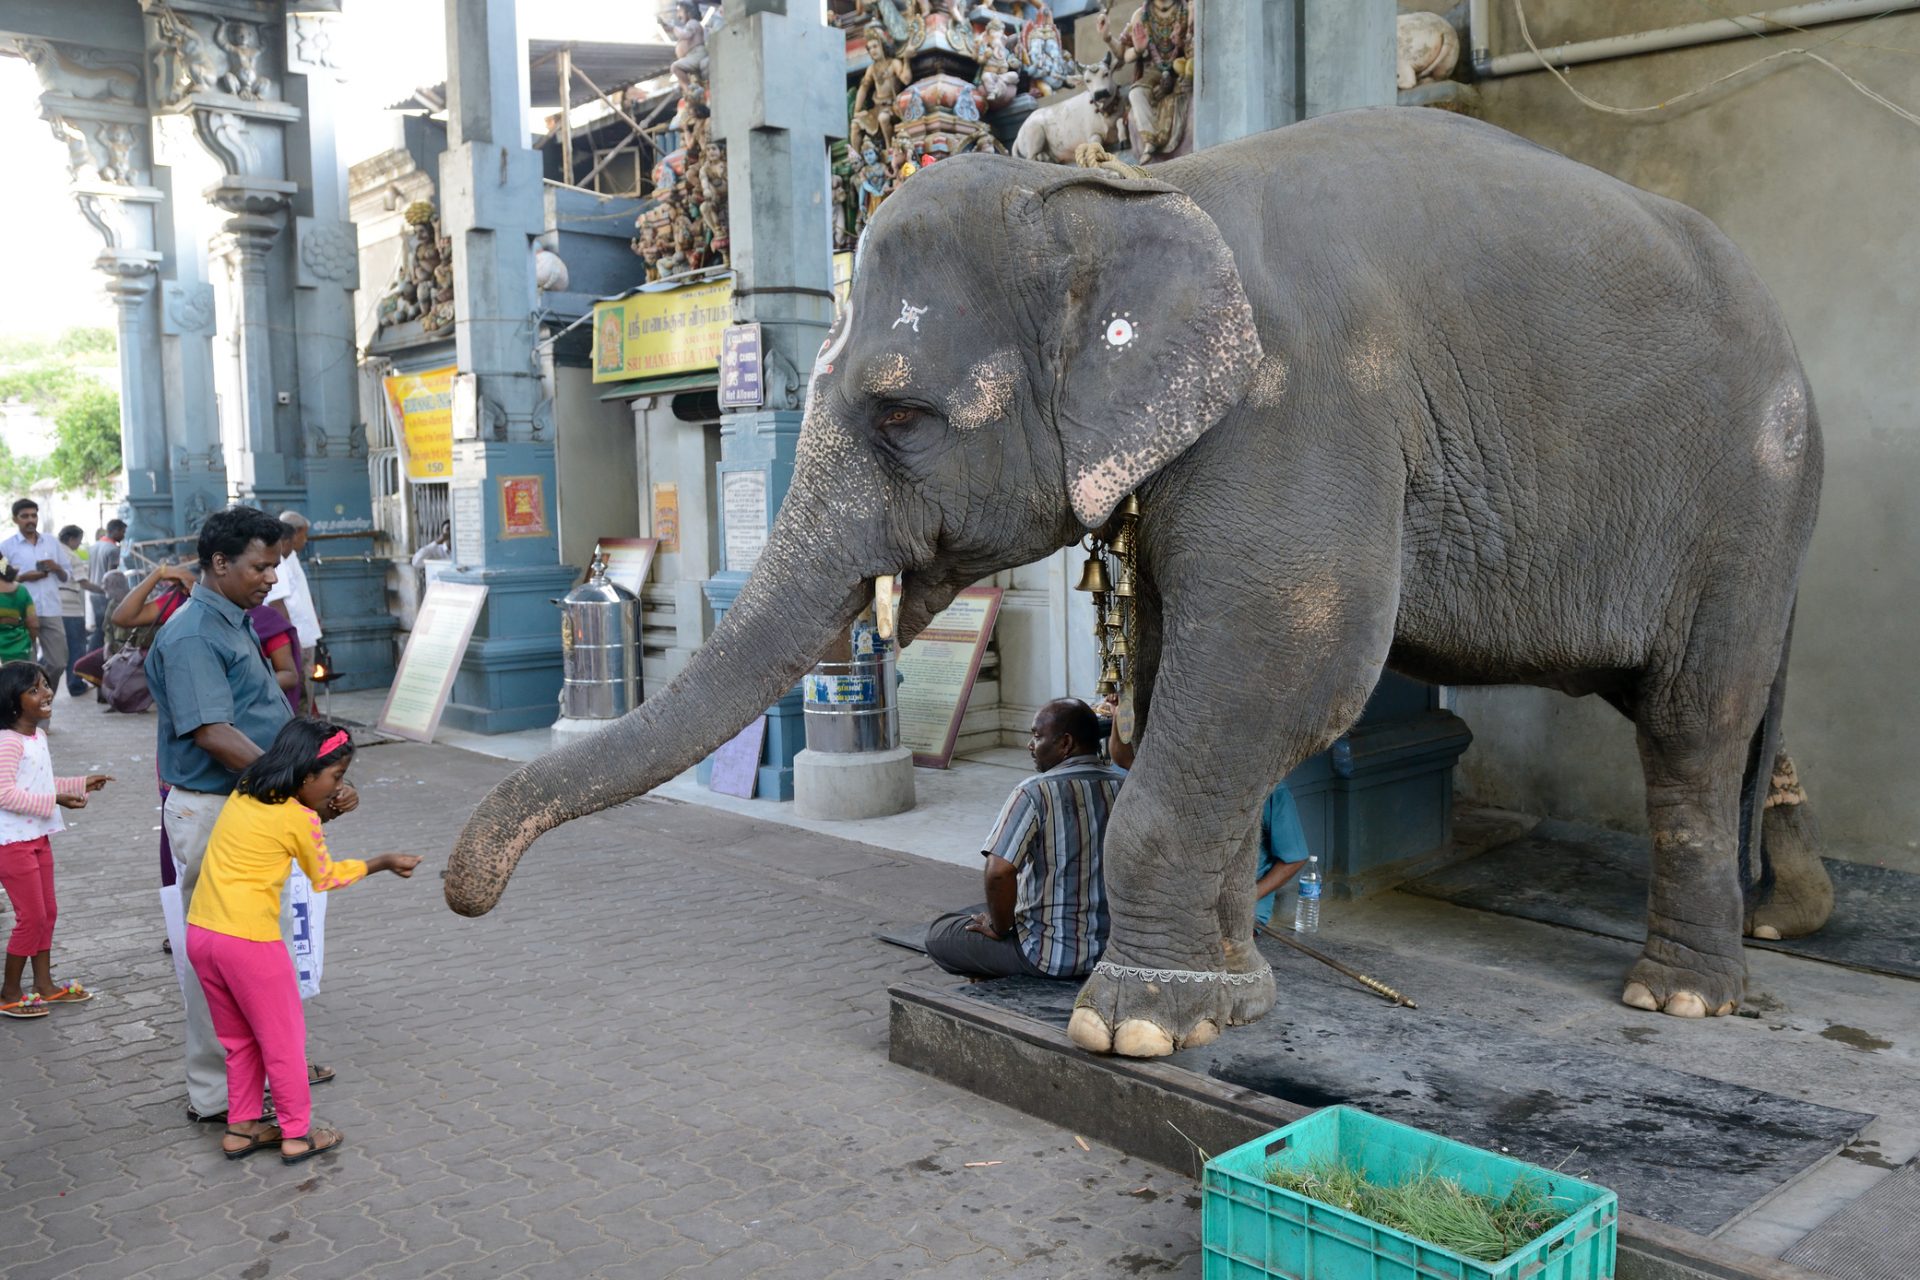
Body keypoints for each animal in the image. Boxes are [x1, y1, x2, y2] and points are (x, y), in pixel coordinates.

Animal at [445, 105, 1827, 1059]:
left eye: (900, 413)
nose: (464, 894)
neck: (1141, 189)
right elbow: (1178, 677)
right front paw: (1229, 999)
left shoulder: (1300, 409)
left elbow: (1286, 666)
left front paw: (1134, 1025)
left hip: (1742, 505)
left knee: (1693, 723)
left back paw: (1682, 995)